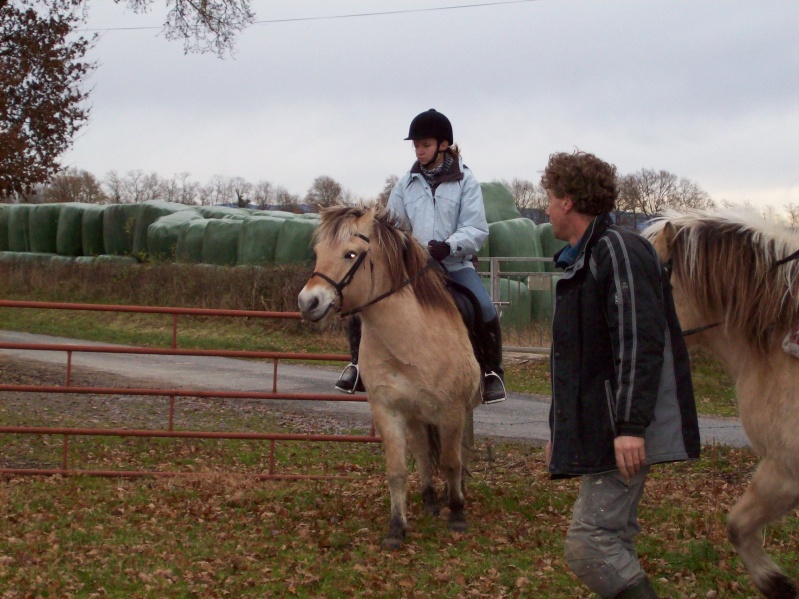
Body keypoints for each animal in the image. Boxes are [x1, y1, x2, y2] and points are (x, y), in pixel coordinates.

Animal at [296, 205, 478, 548]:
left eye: (351, 254)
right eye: (318, 252)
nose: (308, 302)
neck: (409, 341)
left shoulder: (452, 411)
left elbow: (451, 462)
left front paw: (458, 514)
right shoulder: (388, 410)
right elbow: (397, 470)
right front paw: (396, 528)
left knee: (457, 455)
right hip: (417, 414)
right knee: (422, 451)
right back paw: (430, 499)